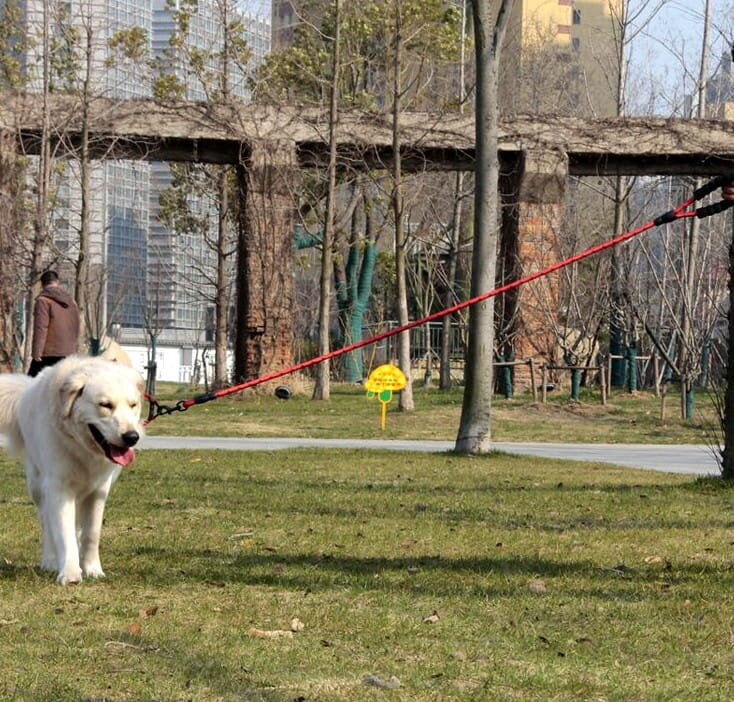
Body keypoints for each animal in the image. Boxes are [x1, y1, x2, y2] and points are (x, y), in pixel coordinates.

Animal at [0, 358, 145, 584]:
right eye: (105, 405)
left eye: (133, 405)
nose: (132, 437)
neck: (81, 447)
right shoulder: (59, 489)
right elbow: (63, 532)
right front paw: (69, 573)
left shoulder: (99, 491)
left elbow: (91, 533)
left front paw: (93, 569)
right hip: (37, 486)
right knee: (47, 523)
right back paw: (50, 561)